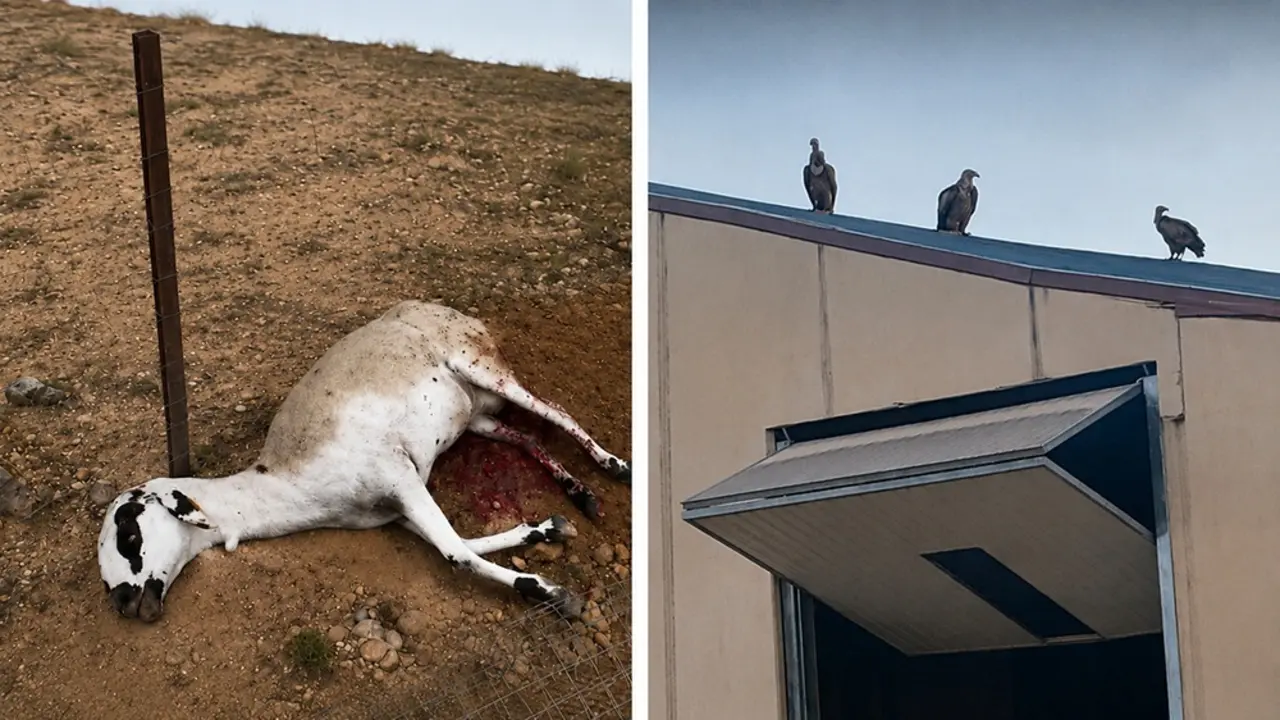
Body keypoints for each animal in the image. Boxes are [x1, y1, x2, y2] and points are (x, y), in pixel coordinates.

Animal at [97, 300, 630, 623]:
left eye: (129, 531)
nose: (122, 600)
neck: (289, 479)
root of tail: (439, 307)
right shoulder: (398, 511)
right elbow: (465, 542)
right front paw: (546, 529)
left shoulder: (400, 476)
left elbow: (456, 553)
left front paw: (555, 594)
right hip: (478, 418)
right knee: (524, 437)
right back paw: (579, 495)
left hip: (483, 367)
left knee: (556, 411)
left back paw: (613, 468)